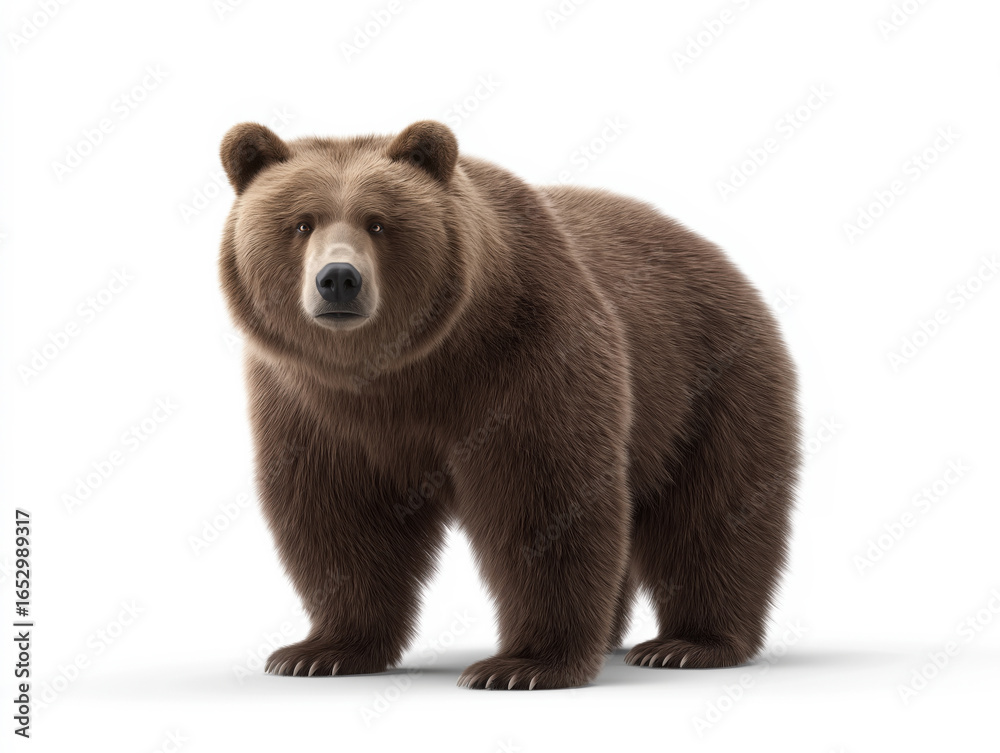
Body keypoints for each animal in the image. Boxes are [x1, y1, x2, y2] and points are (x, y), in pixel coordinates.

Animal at [218, 119, 800, 690]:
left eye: (378, 223)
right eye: (301, 223)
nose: (339, 279)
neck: (403, 372)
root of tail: (720, 259)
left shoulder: (524, 356)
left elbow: (542, 498)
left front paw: (524, 664)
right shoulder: (314, 405)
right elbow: (340, 515)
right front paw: (320, 652)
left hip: (707, 382)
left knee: (714, 511)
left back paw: (688, 645)